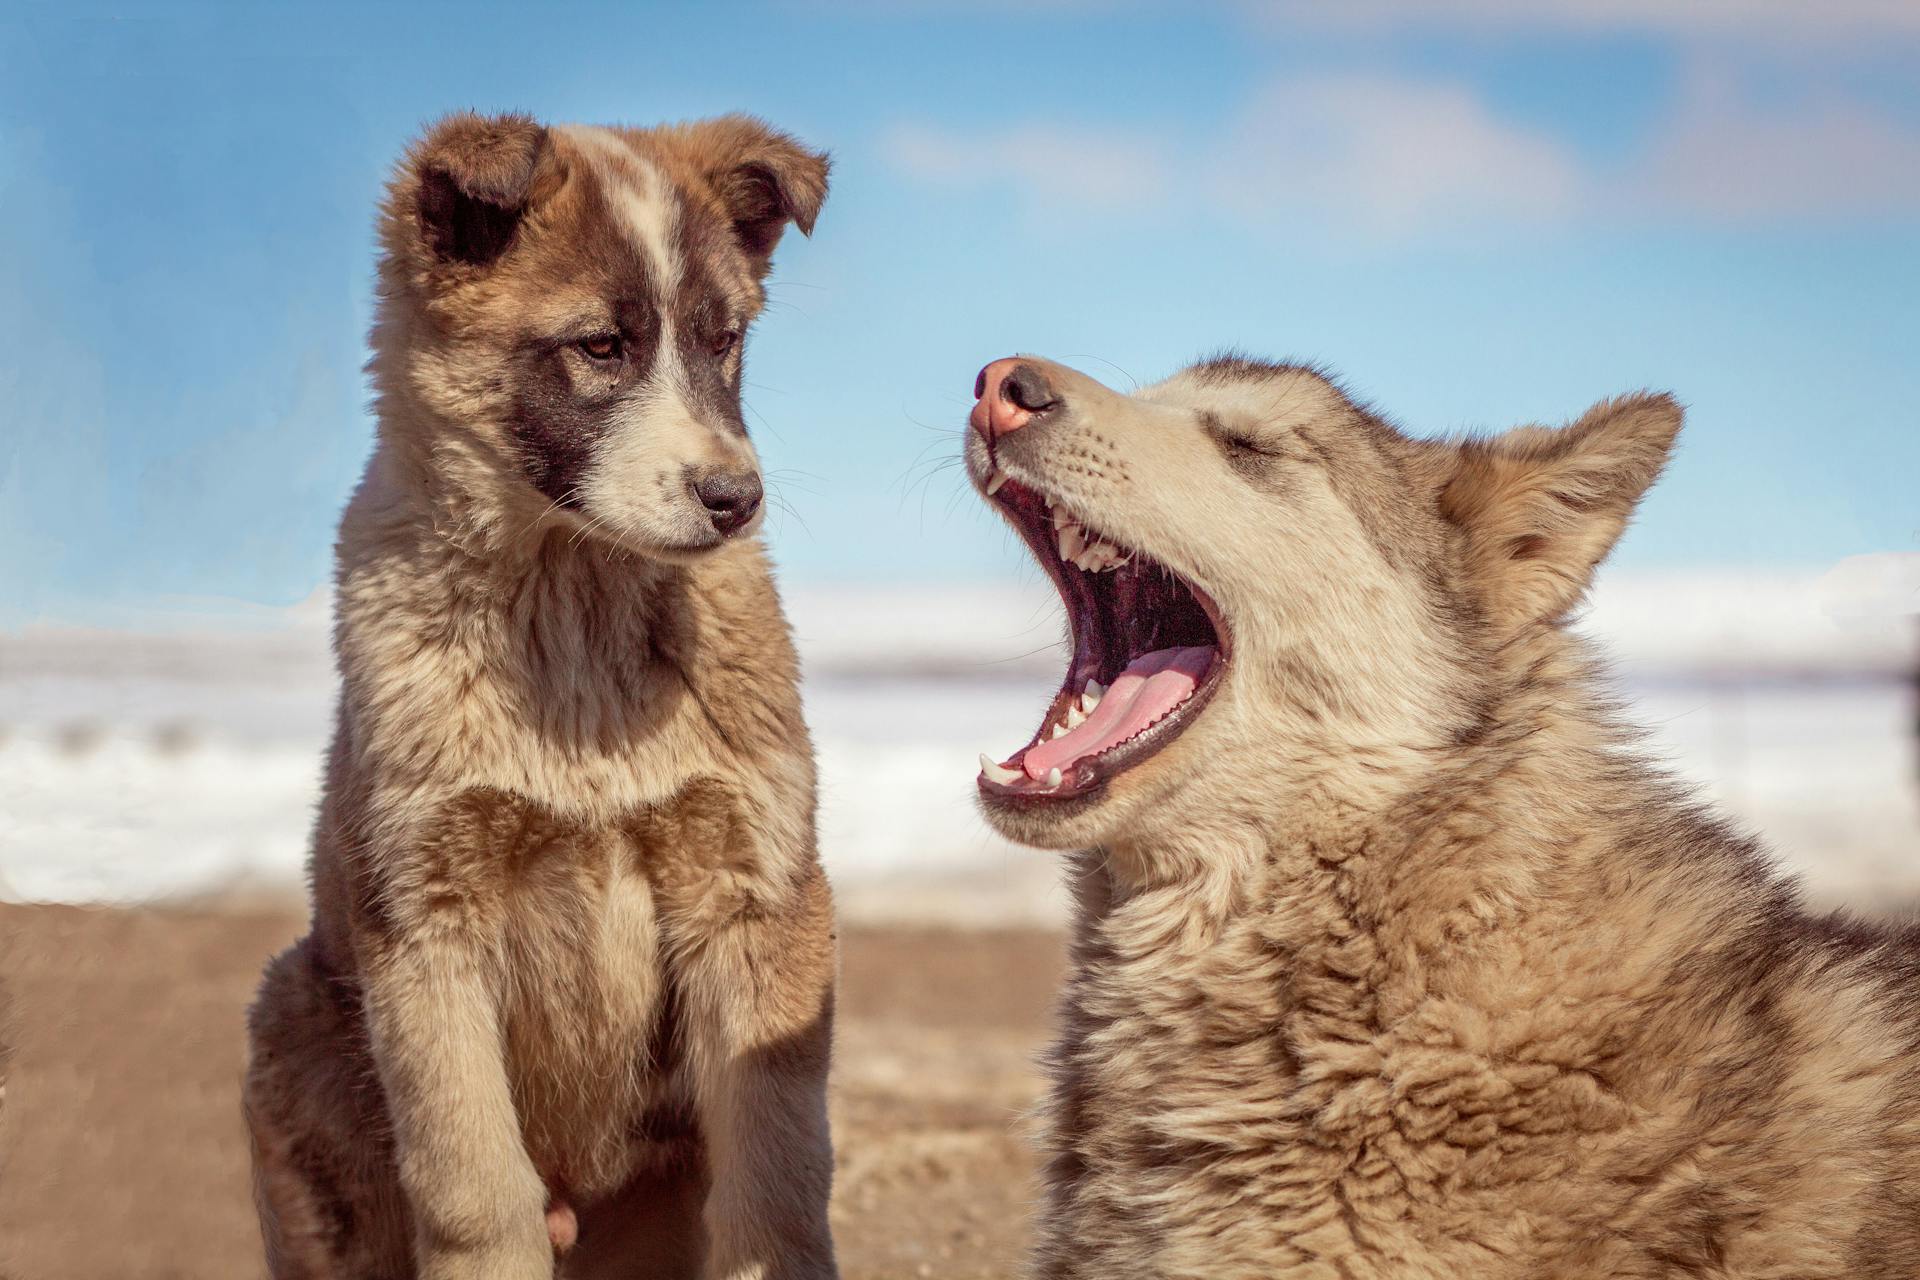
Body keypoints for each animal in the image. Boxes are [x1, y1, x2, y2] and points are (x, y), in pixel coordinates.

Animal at [243, 115, 837, 1280]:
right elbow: (474, 1185)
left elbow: (777, 1187)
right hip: (295, 1028)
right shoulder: (425, 920)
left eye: (723, 341)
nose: (735, 499)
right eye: (600, 347)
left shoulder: (758, 894)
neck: (575, 620)